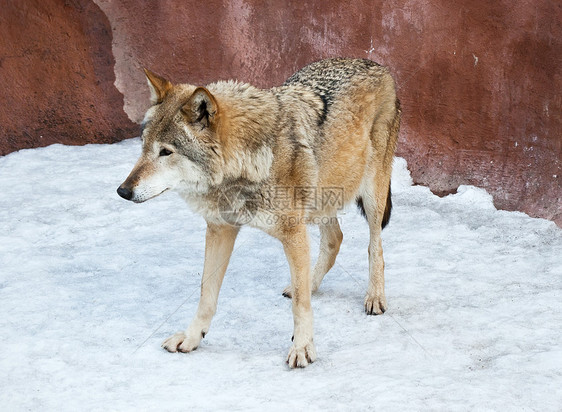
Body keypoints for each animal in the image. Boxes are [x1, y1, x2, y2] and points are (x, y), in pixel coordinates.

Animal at [117, 57, 398, 366]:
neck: (248, 161)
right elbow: (206, 294)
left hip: (371, 196)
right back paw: (311, 283)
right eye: (144, 147)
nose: (123, 191)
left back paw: (374, 297)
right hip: (322, 197)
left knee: (375, 246)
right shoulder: (220, 229)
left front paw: (302, 348)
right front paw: (192, 337)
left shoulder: (293, 233)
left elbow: (300, 306)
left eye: (166, 152)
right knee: (334, 240)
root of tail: (376, 64)